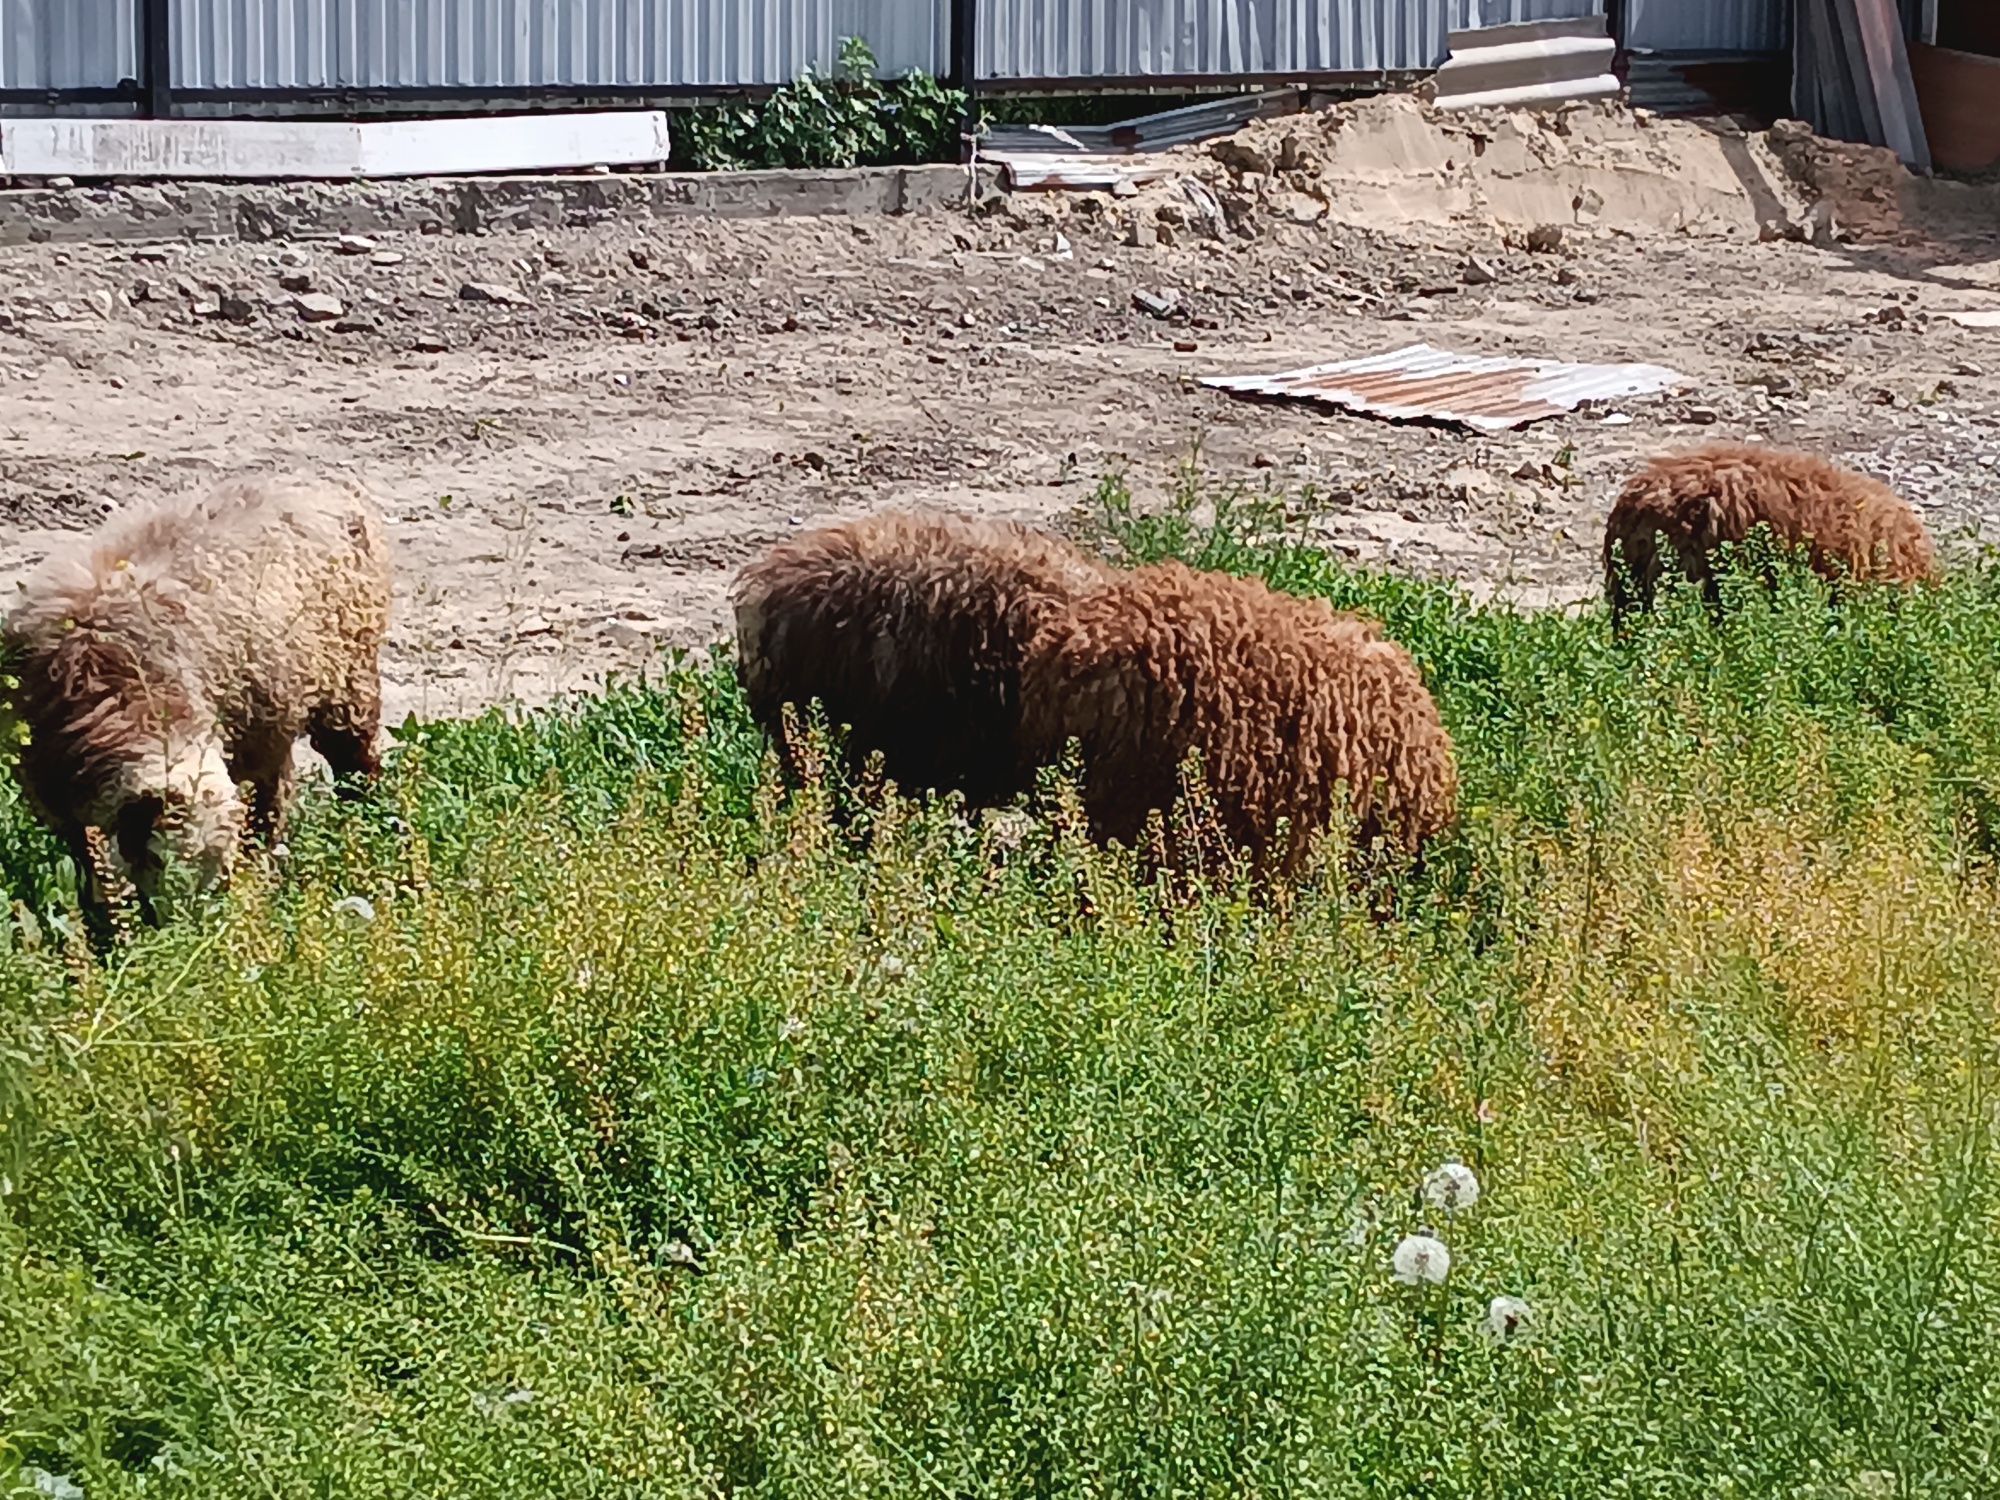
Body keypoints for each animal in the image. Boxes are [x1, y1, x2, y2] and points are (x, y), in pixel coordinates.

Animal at [3, 476, 394, 916]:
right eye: (159, 860)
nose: (192, 926)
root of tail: (324, 485)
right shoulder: (51, 791)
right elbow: (88, 862)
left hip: (348, 677)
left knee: (353, 762)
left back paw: (362, 823)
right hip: (273, 712)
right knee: (276, 788)